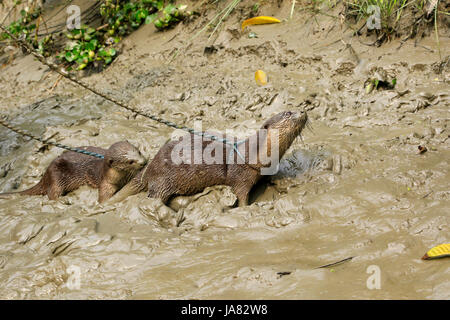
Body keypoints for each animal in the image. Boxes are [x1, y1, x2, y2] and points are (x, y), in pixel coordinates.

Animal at [0, 141, 146, 202]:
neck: (120, 179)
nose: (143, 162)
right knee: (52, 194)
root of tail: (46, 174)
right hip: (56, 178)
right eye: (130, 161)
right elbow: (103, 198)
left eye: (139, 151)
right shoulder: (106, 183)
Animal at [109, 112, 308, 208]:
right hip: (162, 182)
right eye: (288, 113)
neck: (253, 156)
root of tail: (150, 166)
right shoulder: (241, 178)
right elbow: (241, 196)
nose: (303, 110)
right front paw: (246, 208)